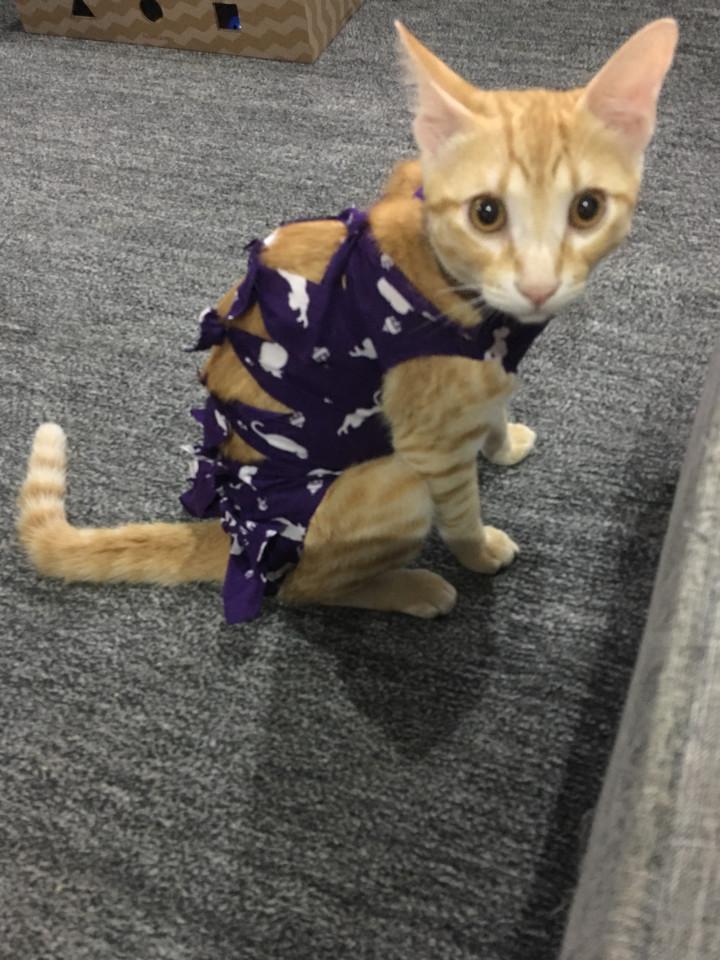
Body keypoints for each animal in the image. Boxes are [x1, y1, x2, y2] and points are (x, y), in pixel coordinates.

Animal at [17, 19, 678, 621]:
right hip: (394, 487)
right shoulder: (429, 441)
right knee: (304, 590)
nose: (538, 286)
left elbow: (493, 407)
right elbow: (462, 514)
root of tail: (234, 533)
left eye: (587, 209)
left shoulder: (489, 369)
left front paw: (501, 440)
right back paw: (415, 590)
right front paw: (481, 553)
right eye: (486, 213)